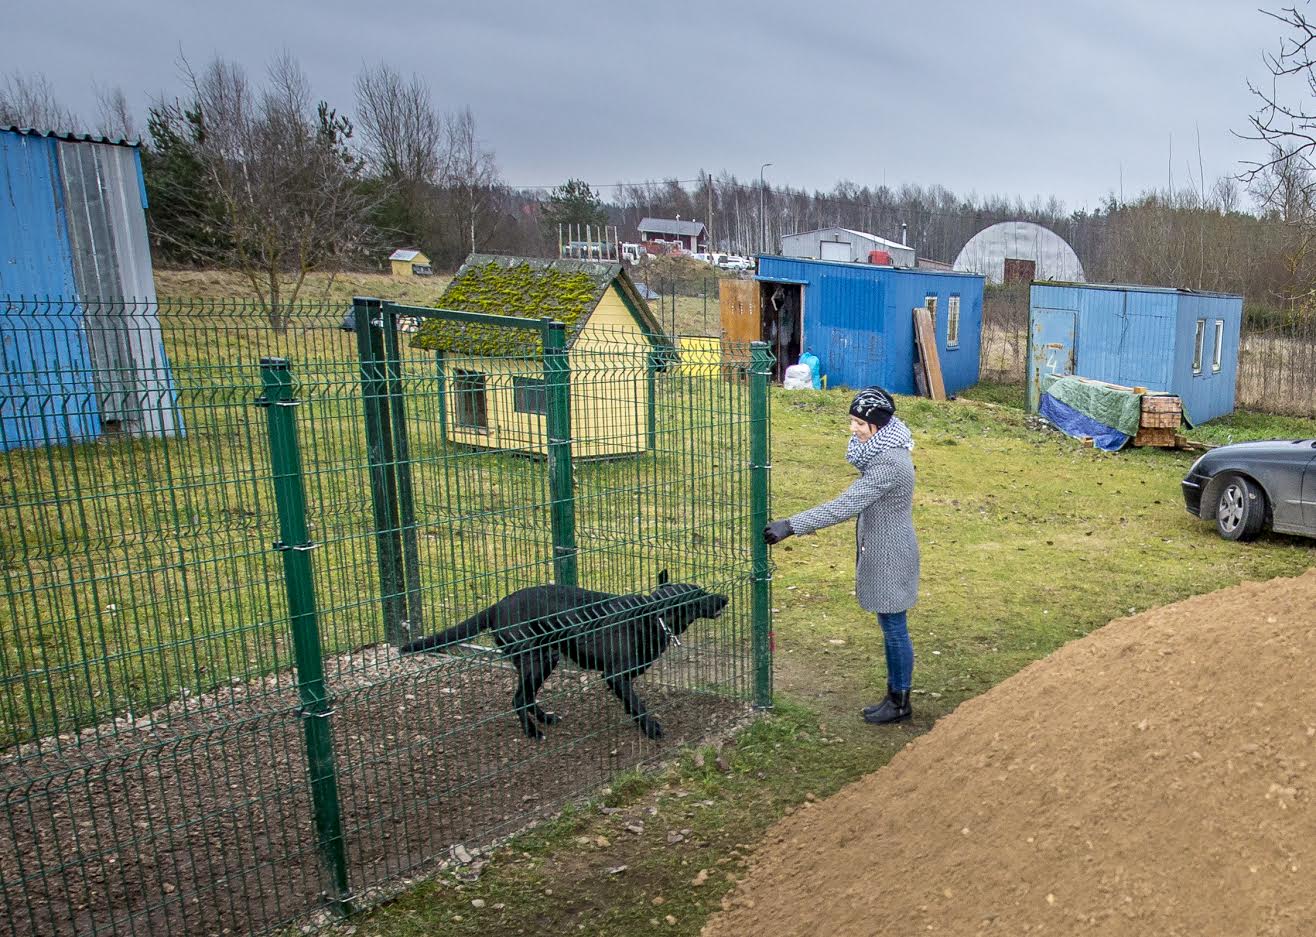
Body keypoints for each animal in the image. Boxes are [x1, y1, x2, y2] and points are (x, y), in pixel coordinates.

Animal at [400, 571, 731, 736]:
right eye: (700, 595)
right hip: (538, 658)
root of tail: (495, 606)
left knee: (526, 697)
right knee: (518, 699)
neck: (651, 617)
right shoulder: (615, 675)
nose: (725, 598)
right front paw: (650, 728)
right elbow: (637, 704)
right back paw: (532, 733)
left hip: (545, 658)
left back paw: (545, 719)